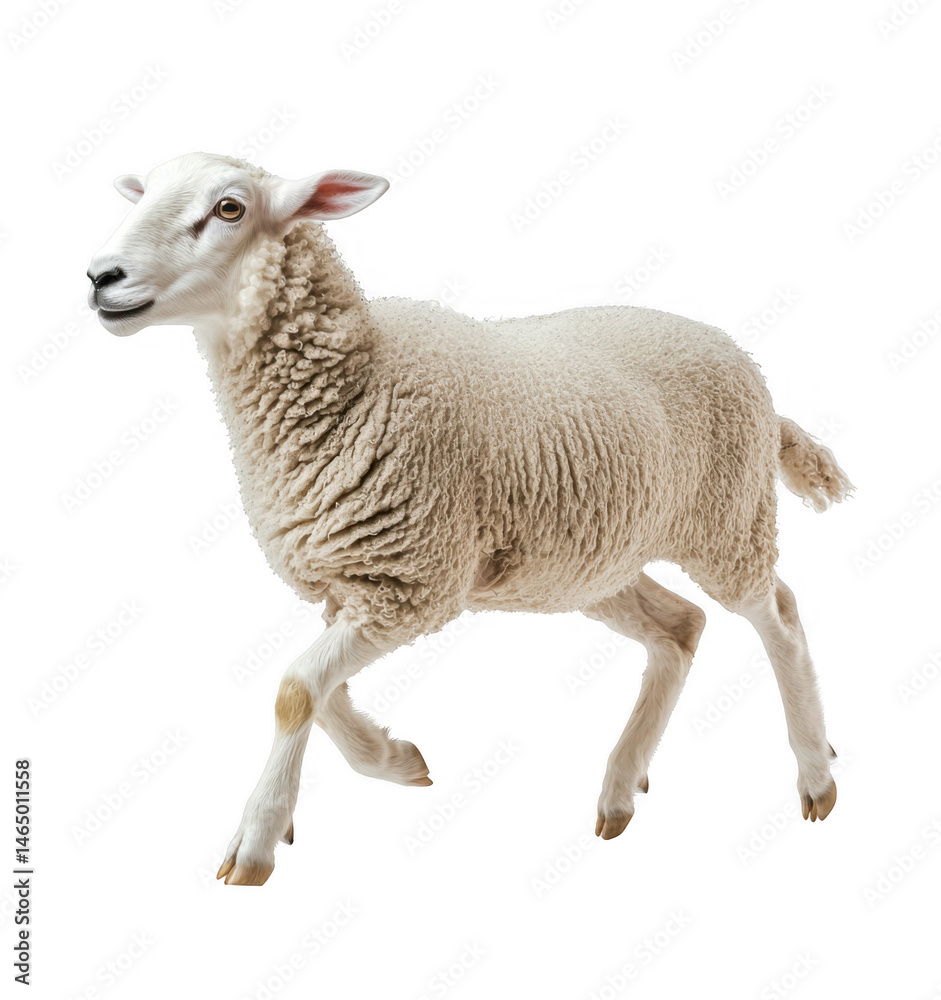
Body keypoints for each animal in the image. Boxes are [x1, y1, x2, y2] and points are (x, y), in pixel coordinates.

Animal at [86, 151, 854, 886]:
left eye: (229, 208)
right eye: (144, 191)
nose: (99, 276)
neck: (357, 382)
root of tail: (745, 364)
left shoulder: (411, 585)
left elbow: (295, 689)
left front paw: (255, 841)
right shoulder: (351, 583)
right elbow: (316, 691)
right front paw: (394, 759)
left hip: (728, 519)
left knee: (779, 617)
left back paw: (815, 775)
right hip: (590, 565)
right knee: (679, 629)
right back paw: (619, 789)